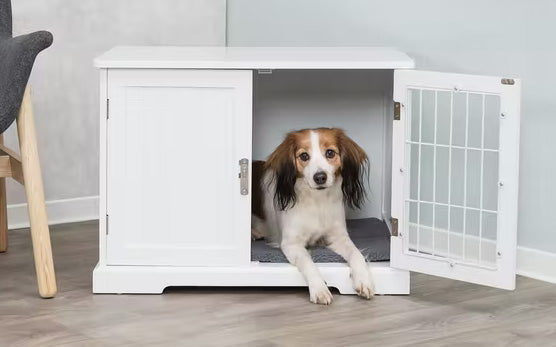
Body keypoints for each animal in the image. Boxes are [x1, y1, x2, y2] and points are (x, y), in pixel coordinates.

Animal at [252, 128, 374, 304]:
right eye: (304, 156)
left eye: (330, 153)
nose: (320, 177)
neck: (317, 202)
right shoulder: (291, 244)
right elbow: (308, 262)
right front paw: (319, 289)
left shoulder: (338, 237)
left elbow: (356, 253)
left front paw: (363, 280)